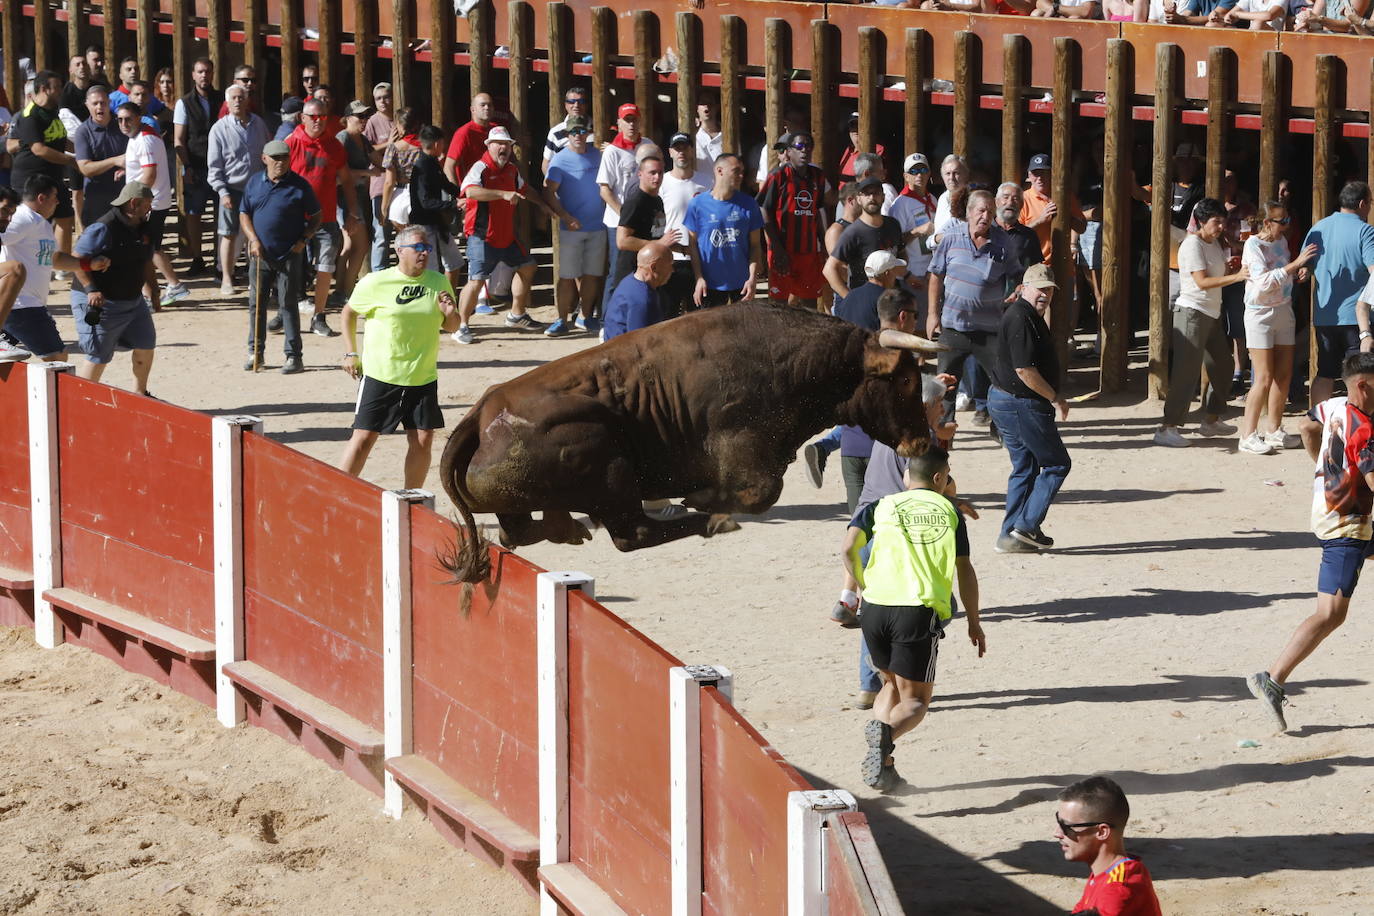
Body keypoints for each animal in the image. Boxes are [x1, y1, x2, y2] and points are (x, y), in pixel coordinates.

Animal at [439, 304, 945, 585]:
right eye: (905, 378)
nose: (923, 441)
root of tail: (483, 411)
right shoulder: (743, 450)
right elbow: (761, 492)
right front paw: (706, 502)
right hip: (611, 466)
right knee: (633, 534)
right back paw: (706, 521)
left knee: (517, 534)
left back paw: (568, 528)